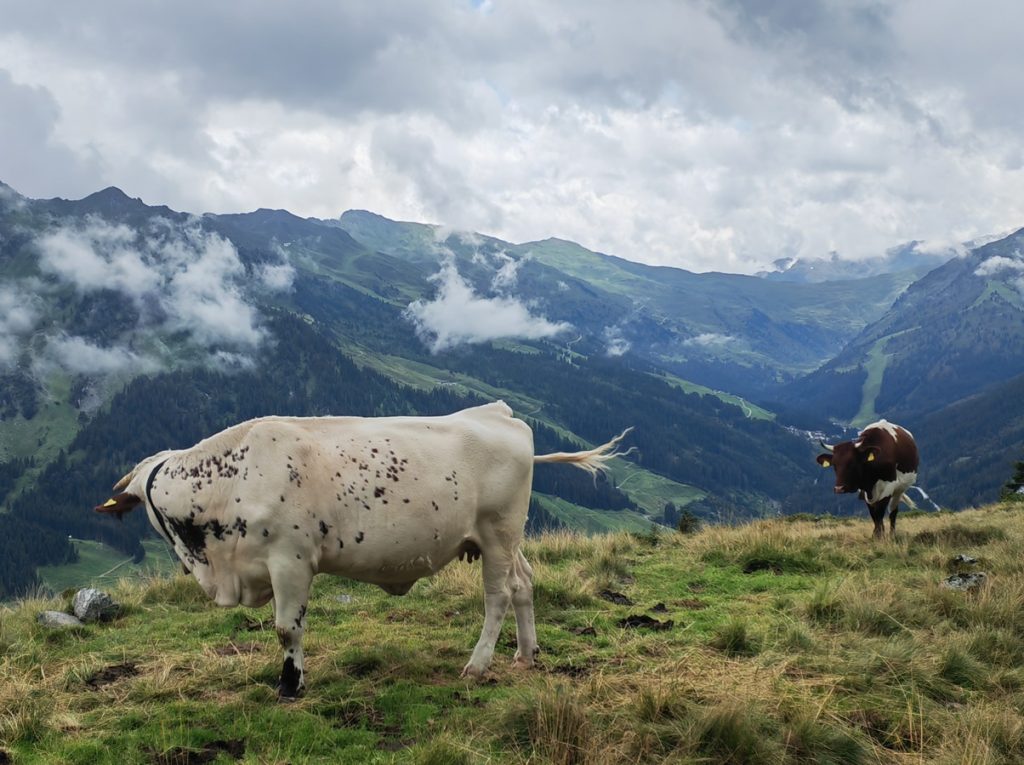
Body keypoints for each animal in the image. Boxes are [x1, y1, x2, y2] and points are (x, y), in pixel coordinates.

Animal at [96, 401, 626, 700]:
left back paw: (477, 666)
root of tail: (499, 414)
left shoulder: (290, 560)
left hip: (498, 533)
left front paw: (290, 685)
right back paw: (527, 653)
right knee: (525, 585)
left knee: (498, 596)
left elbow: (287, 629)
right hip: (505, 538)